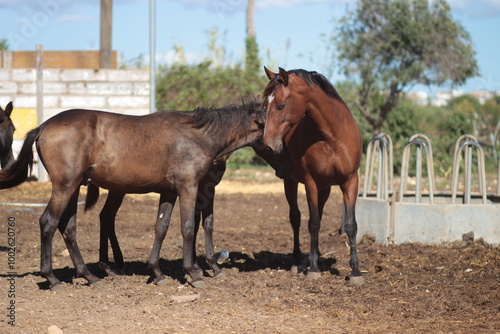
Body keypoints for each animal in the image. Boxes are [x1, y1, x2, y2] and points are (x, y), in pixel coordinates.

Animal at [0, 104, 274, 290]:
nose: (278, 148)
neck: (199, 134)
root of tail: (43, 127)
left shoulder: (169, 191)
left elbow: (161, 227)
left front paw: (157, 273)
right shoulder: (189, 187)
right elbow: (188, 227)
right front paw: (194, 274)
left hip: (75, 186)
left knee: (69, 227)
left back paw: (90, 275)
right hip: (65, 186)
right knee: (49, 222)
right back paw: (53, 278)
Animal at [262, 68, 364, 284]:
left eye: (280, 105)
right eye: (264, 105)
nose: (268, 145)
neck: (332, 138)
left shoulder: (350, 181)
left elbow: (351, 225)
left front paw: (355, 272)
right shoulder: (311, 183)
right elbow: (313, 223)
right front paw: (314, 269)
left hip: (325, 189)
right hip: (291, 182)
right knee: (296, 218)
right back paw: (298, 262)